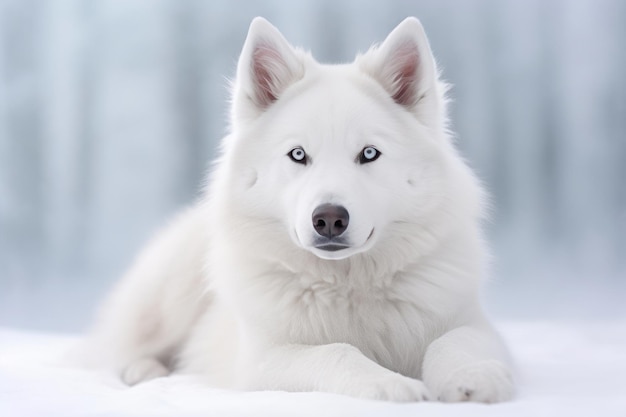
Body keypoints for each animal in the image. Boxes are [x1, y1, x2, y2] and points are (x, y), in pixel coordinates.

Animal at [89, 17, 516, 404]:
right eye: (298, 155)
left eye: (369, 153)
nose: (329, 219)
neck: (349, 286)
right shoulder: (262, 359)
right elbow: (338, 351)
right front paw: (389, 384)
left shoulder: (474, 323)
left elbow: (453, 342)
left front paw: (470, 377)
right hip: (170, 291)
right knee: (123, 349)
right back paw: (144, 371)